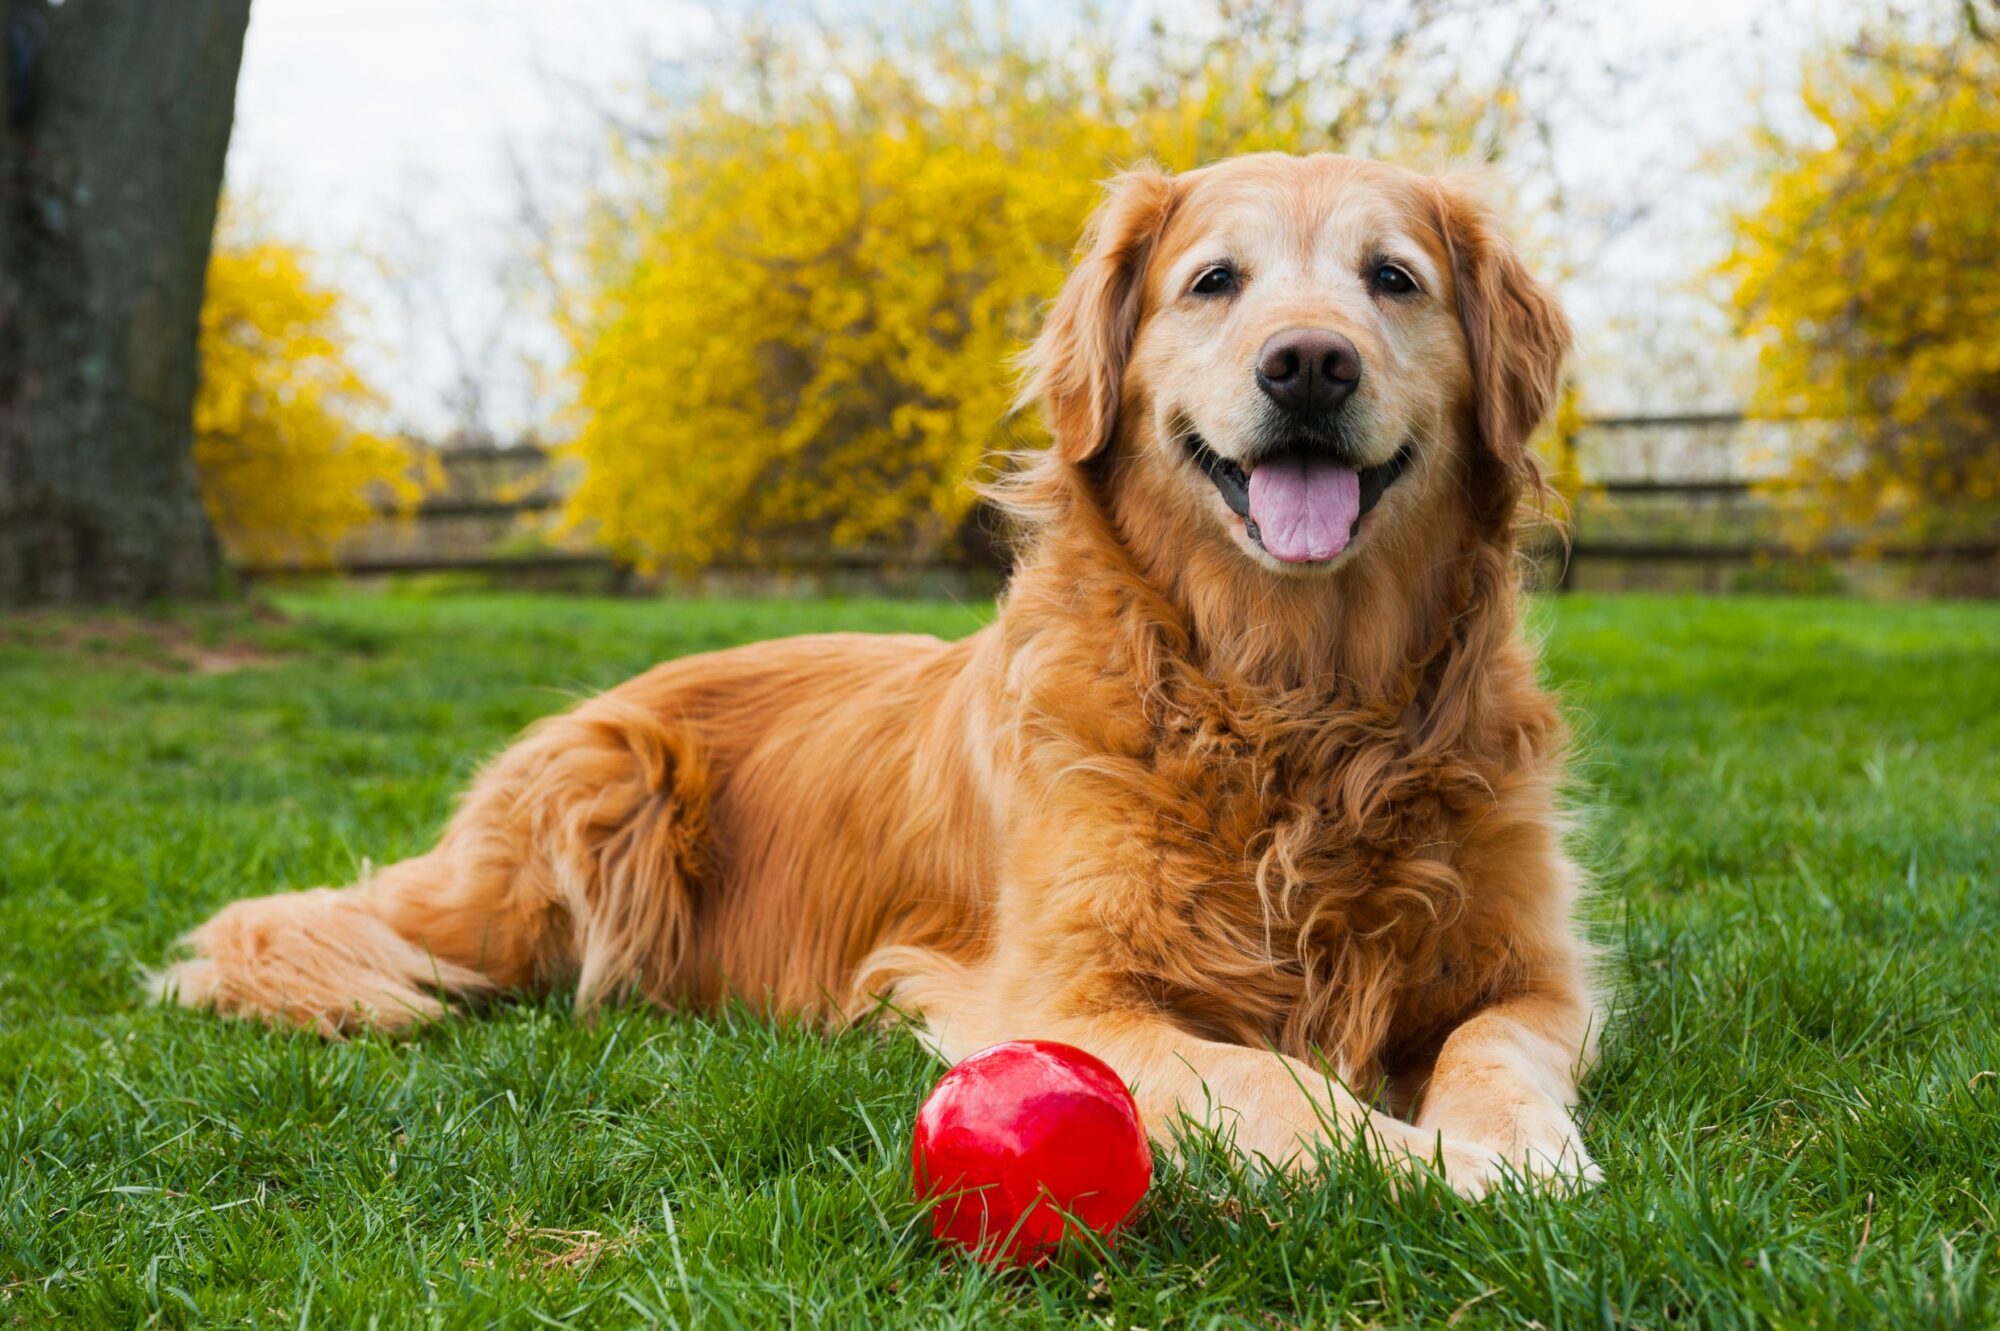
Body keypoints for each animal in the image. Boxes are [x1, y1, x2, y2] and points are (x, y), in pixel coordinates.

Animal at [156, 152, 1592, 1191]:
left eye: (1392, 277)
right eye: (1215, 281)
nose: (1307, 363)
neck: (1296, 701)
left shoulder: (1535, 970)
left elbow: (1494, 1047)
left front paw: (1515, 1149)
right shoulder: (1060, 991)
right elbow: (1269, 1078)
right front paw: (1440, 1166)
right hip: (586, 806)